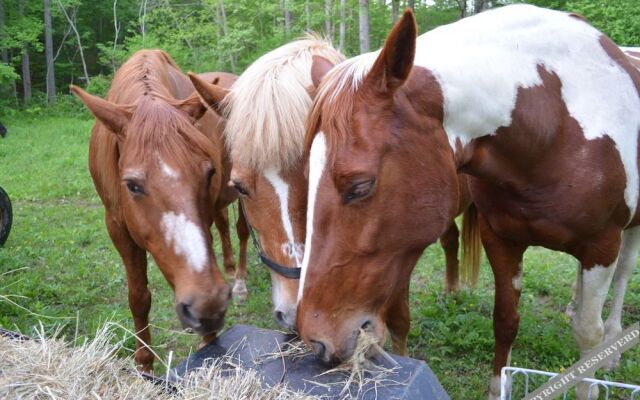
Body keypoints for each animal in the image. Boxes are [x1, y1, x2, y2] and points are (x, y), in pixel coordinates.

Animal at [71, 50, 248, 372]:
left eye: (209, 172)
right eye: (132, 185)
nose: (209, 305)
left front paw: (208, 342)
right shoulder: (118, 229)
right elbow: (139, 296)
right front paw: (144, 363)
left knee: (242, 231)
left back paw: (239, 282)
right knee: (224, 225)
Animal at [300, 6, 640, 400]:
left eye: (359, 186)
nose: (316, 340)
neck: (554, 123)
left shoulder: (601, 247)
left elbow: (588, 334)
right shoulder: (501, 239)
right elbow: (505, 321)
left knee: (623, 275)